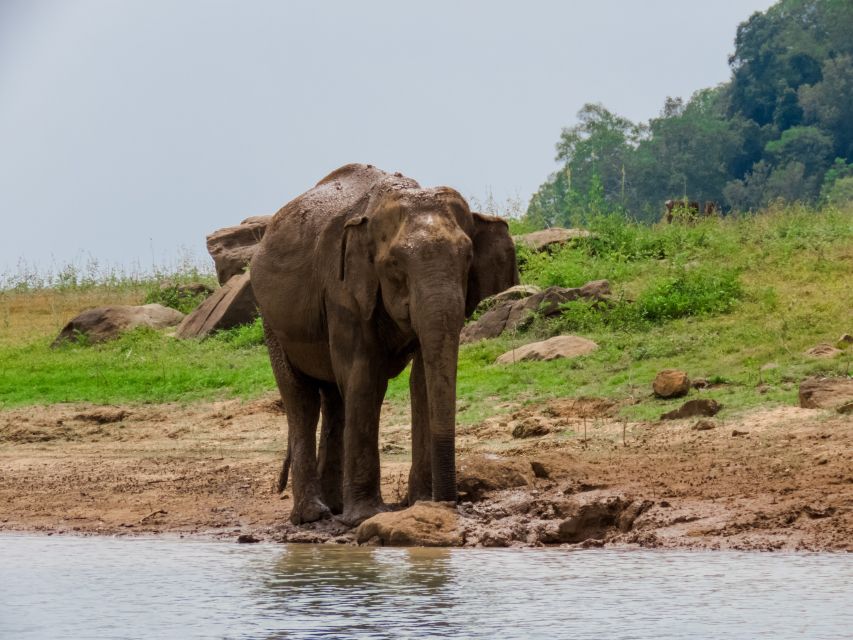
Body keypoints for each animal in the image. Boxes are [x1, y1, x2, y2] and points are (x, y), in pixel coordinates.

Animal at [251, 161, 520, 524]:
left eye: (467, 259)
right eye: (394, 264)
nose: (450, 502)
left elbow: (420, 382)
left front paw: (419, 502)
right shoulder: (342, 291)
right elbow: (365, 376)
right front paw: (366, 517)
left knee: (335, 398)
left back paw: (335, 507)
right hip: (272, 324)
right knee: (302, 398)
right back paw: (314, 515)